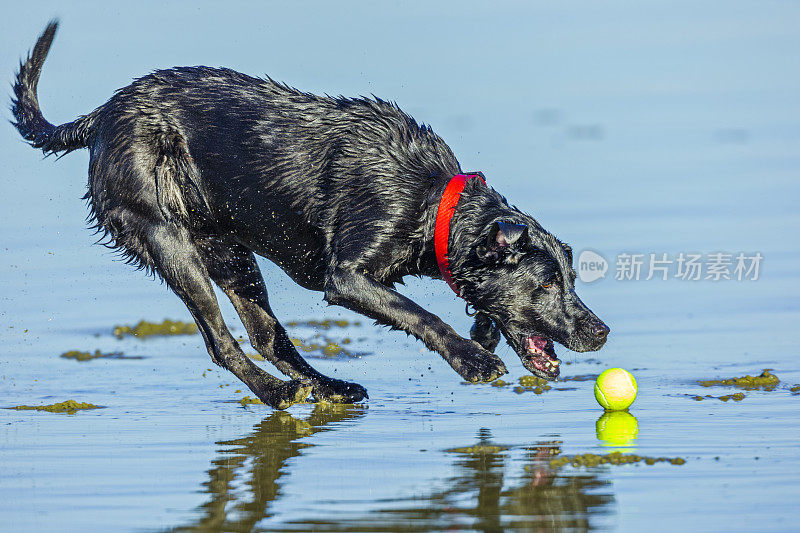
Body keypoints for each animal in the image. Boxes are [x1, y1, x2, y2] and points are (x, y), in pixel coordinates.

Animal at [12, 21, 608, 408]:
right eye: (548, 282)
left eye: (572, 278)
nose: (601, 333)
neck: (431, 201)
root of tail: (101, 116)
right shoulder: (345, 278)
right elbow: (419, 313)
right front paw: (474, 360)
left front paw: (481, 336)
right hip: (165, 237)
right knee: (222, 343)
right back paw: (279, 393)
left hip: (228, 252)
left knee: (268, 336)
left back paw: (329, 388)